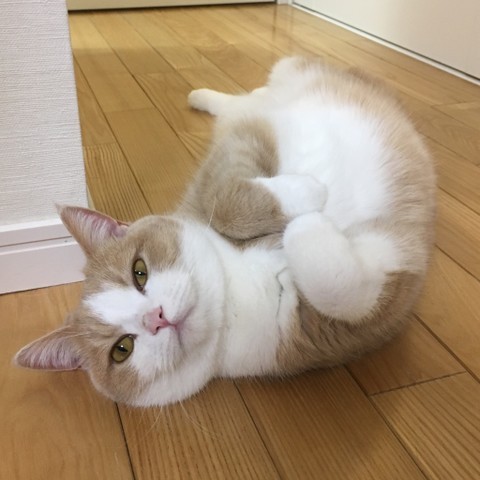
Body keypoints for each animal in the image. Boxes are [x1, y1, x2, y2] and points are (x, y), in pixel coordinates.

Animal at [14, 57, 436, 407]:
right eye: (122, 349)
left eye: (139, 272)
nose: (157, 318)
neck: (233, 291)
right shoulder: (344, 323)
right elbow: (336, 282)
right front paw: (308, 221)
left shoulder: (238, 150)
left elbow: (229, 204)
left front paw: (308, 195)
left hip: (285, 74)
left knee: (253, 97)